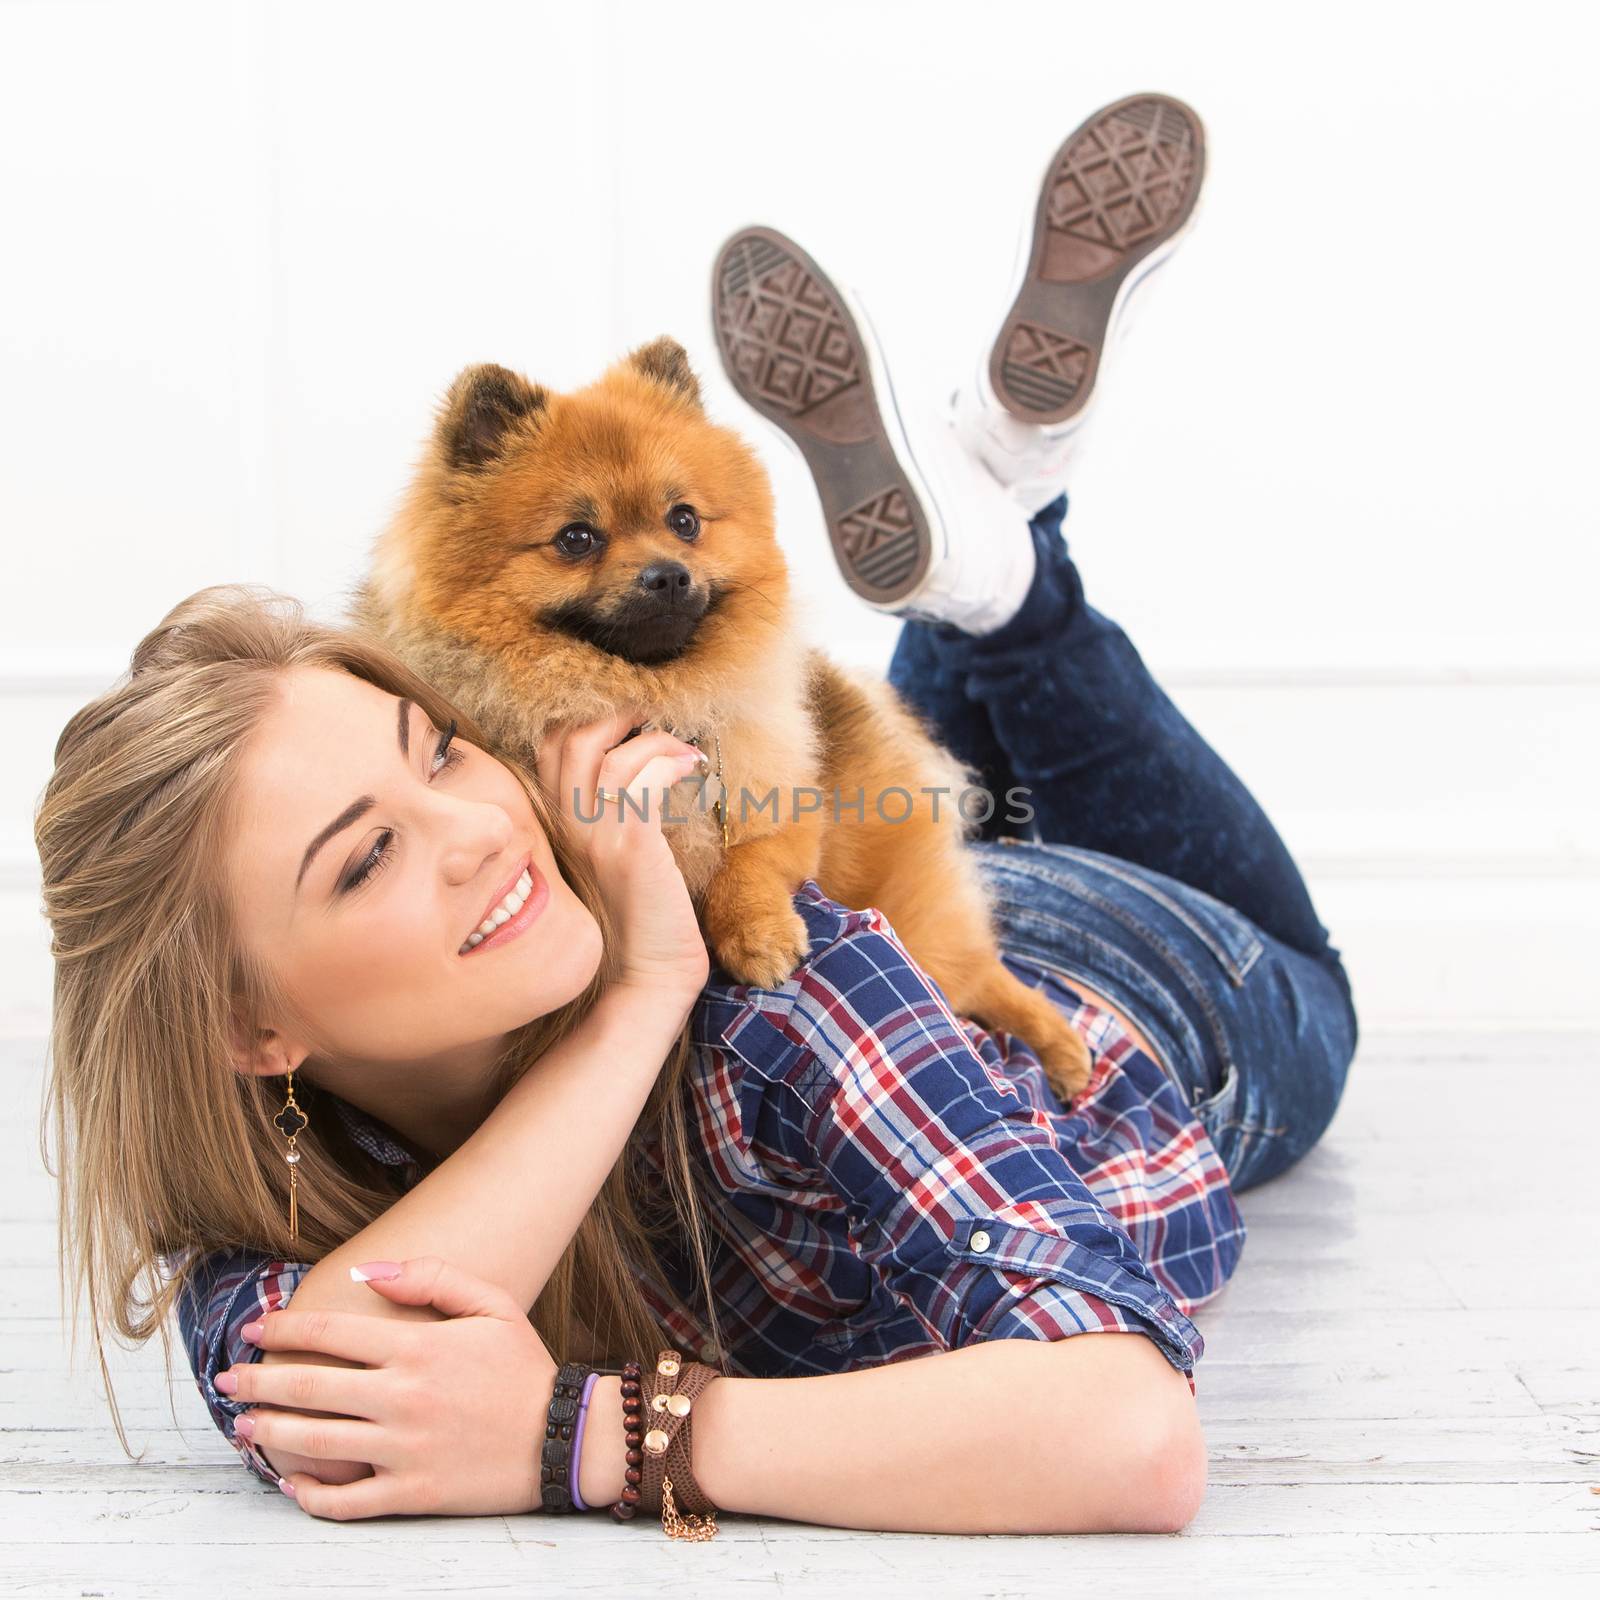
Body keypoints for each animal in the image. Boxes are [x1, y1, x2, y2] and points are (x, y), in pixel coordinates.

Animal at [348, 340, 1094, 1100]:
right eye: (577, 538)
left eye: (684, 521)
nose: (668, 574)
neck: (653, 693)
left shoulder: (784, 810)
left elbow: (747, 860)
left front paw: (758, 934)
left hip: (917, 910)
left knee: (986, 976)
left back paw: (1061, 1047)